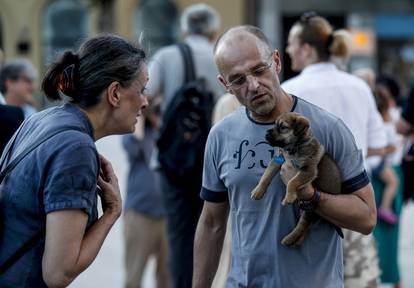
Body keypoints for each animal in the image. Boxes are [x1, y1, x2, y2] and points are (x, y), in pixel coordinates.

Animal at [251, 111, 342, 246]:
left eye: (283, 127)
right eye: (275, 124)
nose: (266, 133)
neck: (294, 148)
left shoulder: (308, 170)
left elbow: (292, 182)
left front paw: (289, 197)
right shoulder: (278, 161)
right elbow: (266, 175)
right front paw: (258, 191)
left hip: (310, 209)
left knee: (303, 225)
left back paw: (290, 239)